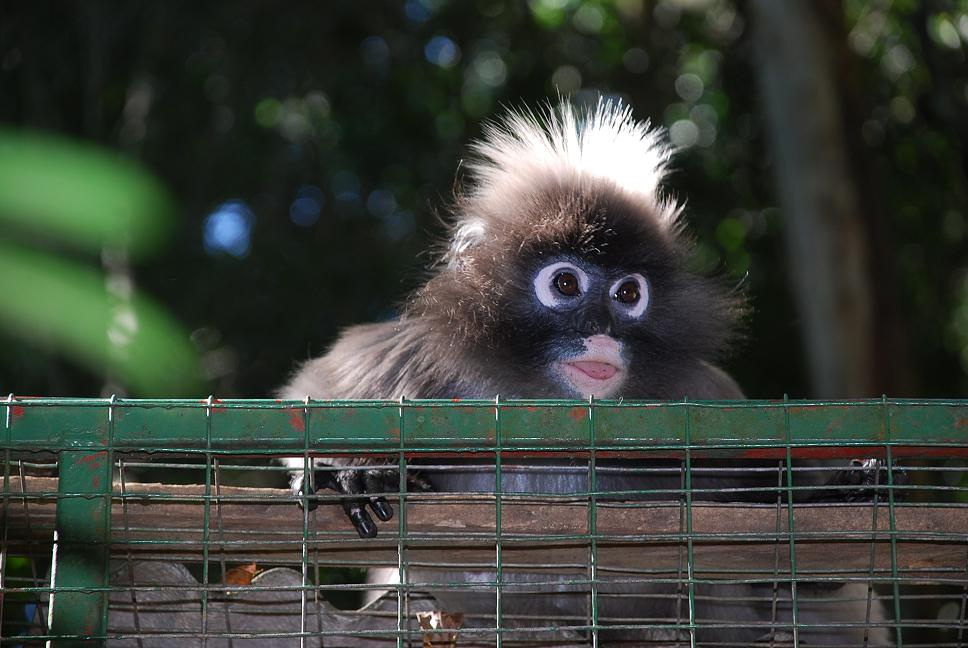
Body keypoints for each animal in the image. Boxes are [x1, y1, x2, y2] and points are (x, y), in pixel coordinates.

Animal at [278, 99, 892, 645]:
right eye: (567, 283)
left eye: (628, 294)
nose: (602, 328)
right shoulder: (415, 356)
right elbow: (303, 403)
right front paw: (351, 474)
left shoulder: (705, 401)